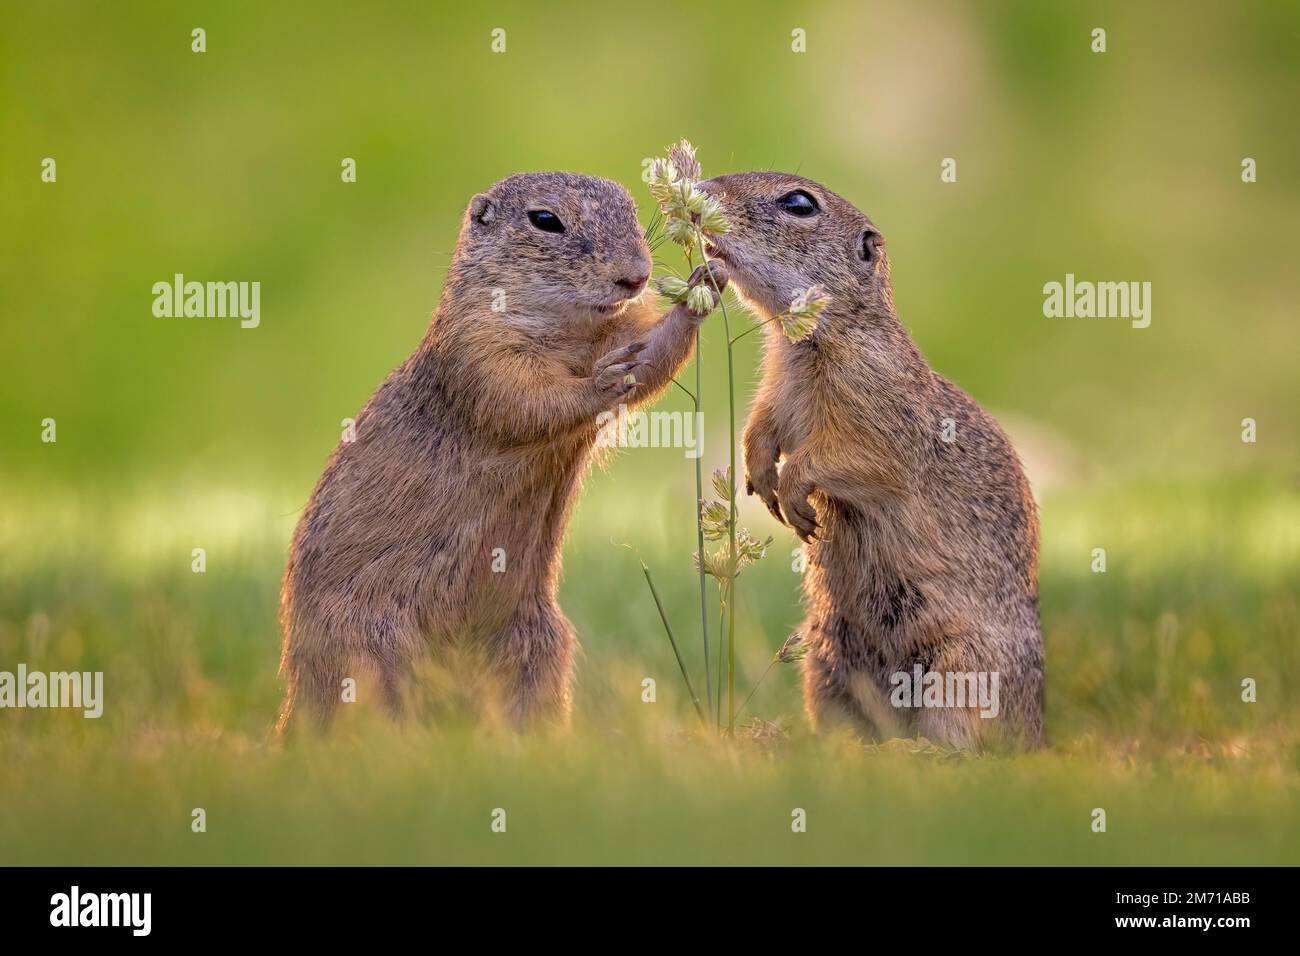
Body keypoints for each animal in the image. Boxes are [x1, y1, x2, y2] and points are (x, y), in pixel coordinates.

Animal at [279, 171, 728, 733]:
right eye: (545, 220)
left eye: (630, 206)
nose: (636, 277)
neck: (570, 331)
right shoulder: (481, 349)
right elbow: (526, 399)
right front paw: (600, 381)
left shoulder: (618, 331)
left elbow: (650, 360)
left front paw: (705, 283)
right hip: (367, 650)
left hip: (541, 647)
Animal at [702, 174, 1045, 754]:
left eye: (799, 203)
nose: (700, 189)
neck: (809, 339)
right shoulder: (776, 386)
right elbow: (761, 425)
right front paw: (758, 475)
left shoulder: (875, 406)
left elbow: (850, 455)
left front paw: (793, 494)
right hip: (824, 662)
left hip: (963, 665)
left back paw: (920, 751)